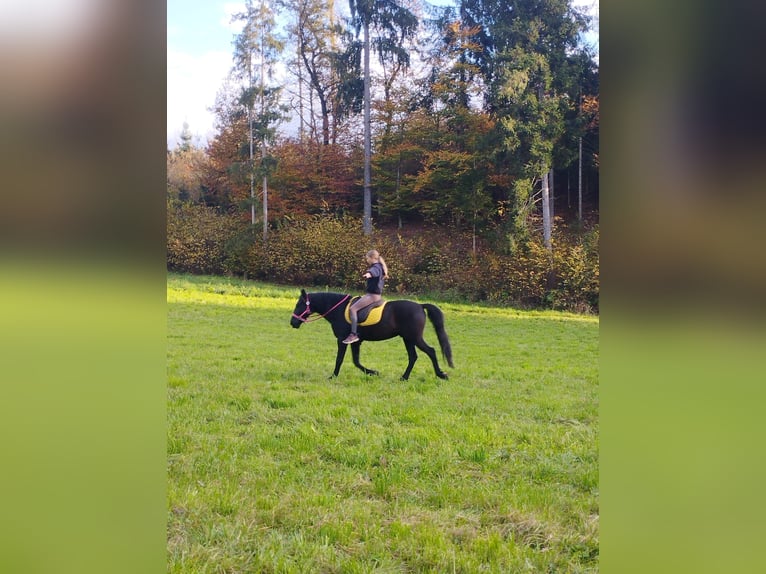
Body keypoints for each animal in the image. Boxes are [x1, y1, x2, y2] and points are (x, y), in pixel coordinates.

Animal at [290, 289, 454, 380]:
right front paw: (373, 372)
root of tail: (420, 306)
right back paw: (404, 377)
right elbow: (356, 361)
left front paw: (333, 376)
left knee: (431, 351)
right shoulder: (355, 342)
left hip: (414, 338)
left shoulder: (342, 340)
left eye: (299, 304)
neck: (338, 309)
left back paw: (441, 374)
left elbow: (340, 360)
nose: (292, 322)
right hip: (408, 339)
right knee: (413, 357)